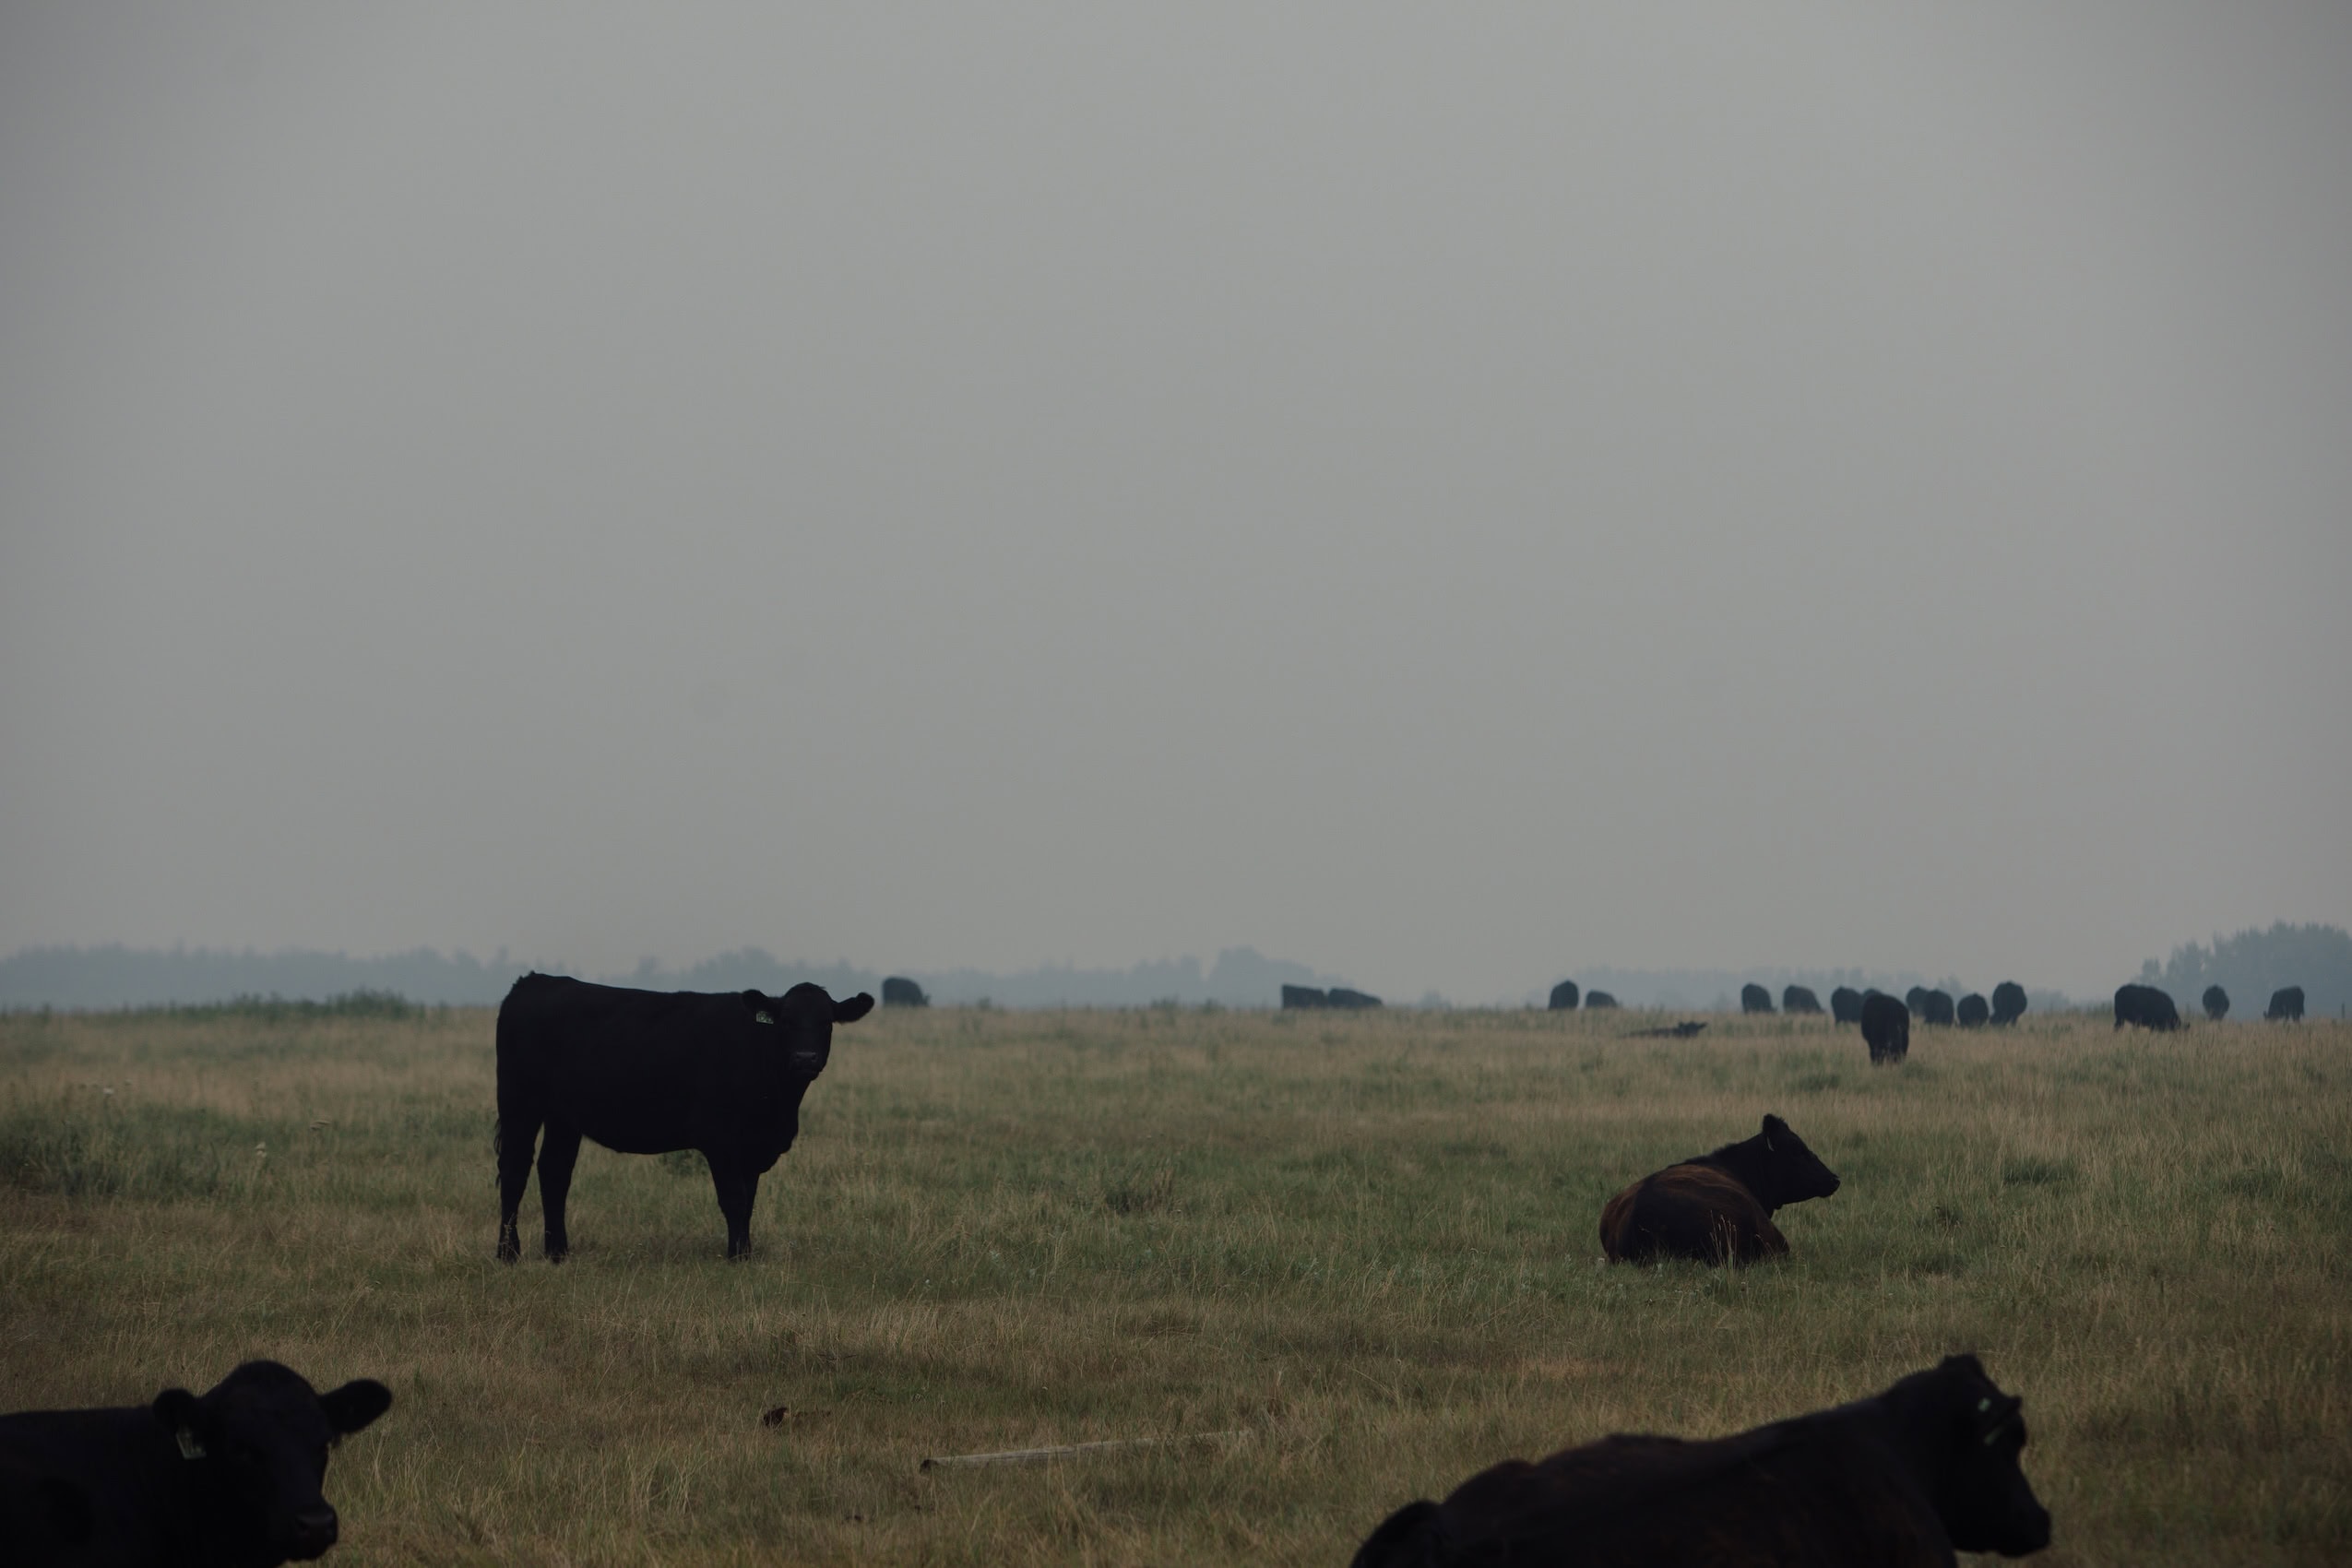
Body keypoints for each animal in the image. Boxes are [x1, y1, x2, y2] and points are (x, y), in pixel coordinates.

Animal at [495, 973, 874, 1261]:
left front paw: (745, 1251)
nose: (805, 1058)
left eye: (826, 1023)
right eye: (786, 1022)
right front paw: (738, 1257)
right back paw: (508, 1253)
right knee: (514, 1171)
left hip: (563, 1116)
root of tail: (535, 981)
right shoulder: (720, 1140)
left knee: (554, 1172)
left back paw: (557, 1252)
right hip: (519, 1101)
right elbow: (734, 1199)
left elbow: (749, 1201)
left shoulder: (752, 1148)